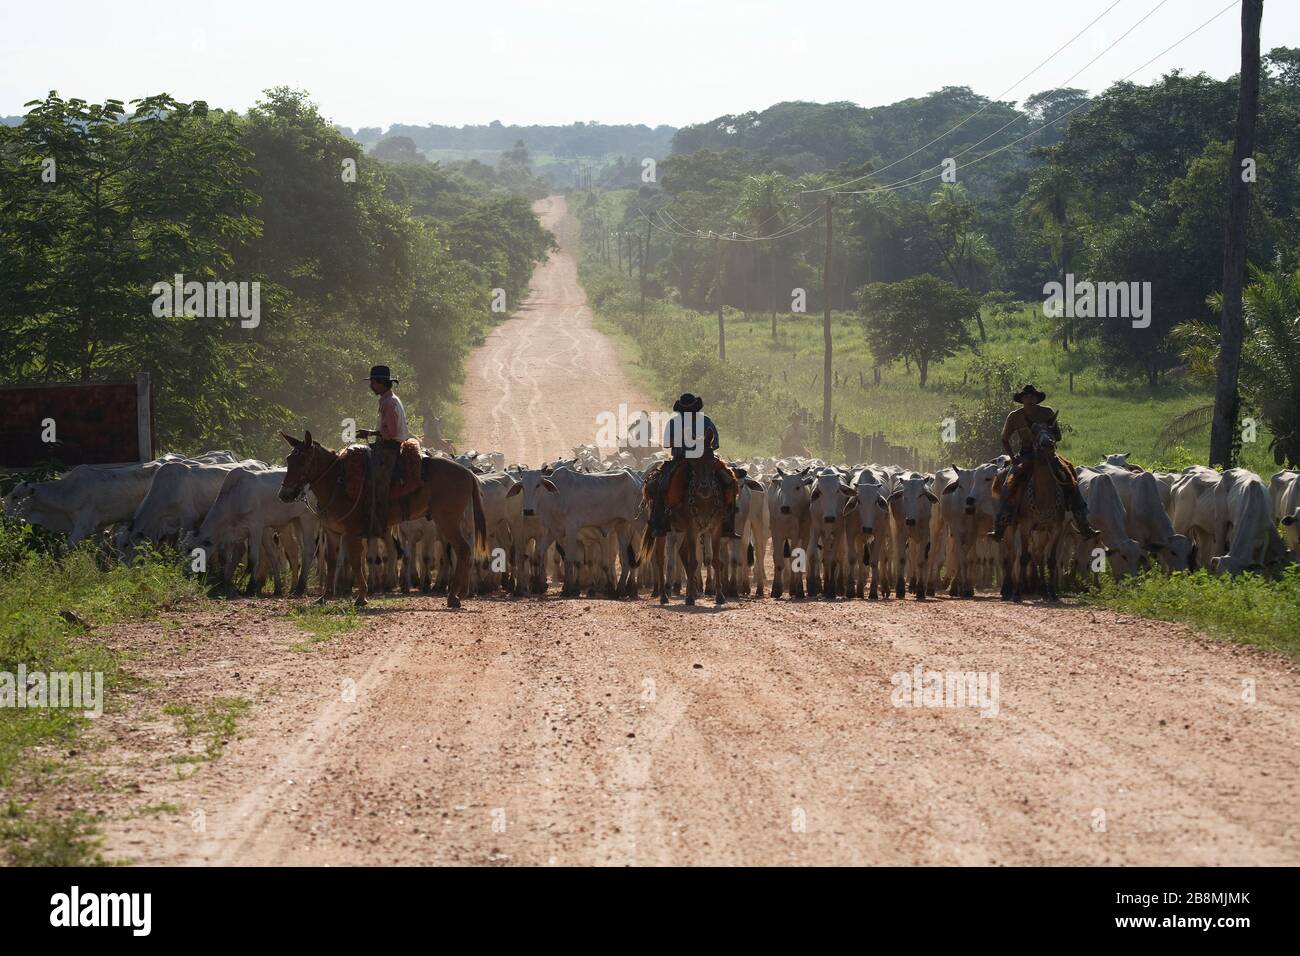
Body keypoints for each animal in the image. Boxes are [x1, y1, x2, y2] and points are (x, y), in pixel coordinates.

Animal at [279, 431, 488, 608]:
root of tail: (467, 473)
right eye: (289, 459)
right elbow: (332, 560)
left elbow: (355, 561)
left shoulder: (352, 532)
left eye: (302, 461)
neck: (338, 482)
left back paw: (453, 596)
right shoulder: (333, 531)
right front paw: (325, 596)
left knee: (463, 550)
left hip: (447, 521)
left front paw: (361, 597)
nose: (284, 494)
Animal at [639, 455, 733, 606]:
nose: (704, 487)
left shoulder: (715, 529)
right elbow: (693, 561)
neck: (704, 501)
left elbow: (715, 560)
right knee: (660, 559)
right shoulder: (692, 528)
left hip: (683, 530)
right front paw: (689, 598)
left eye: (712, 463)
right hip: (665, 529)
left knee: (682, 552)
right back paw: (664, 595)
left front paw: (719, 596)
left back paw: (692, 590)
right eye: (694, 465)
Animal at [1003, 421, 1066, 600]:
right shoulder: (1025, 527)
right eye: (1035, 432)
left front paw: (1052, 593)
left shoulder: (1056, 528)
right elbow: (1023, 557)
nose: (1047, 444)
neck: (1043, 496)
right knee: (1011, 554)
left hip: (1041, 532)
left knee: (1038, 555)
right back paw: (1007, 590)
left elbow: (1050, 559)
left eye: (1052, 430)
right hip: (1012, 527)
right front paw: (1017, 594)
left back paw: (1041, 589)